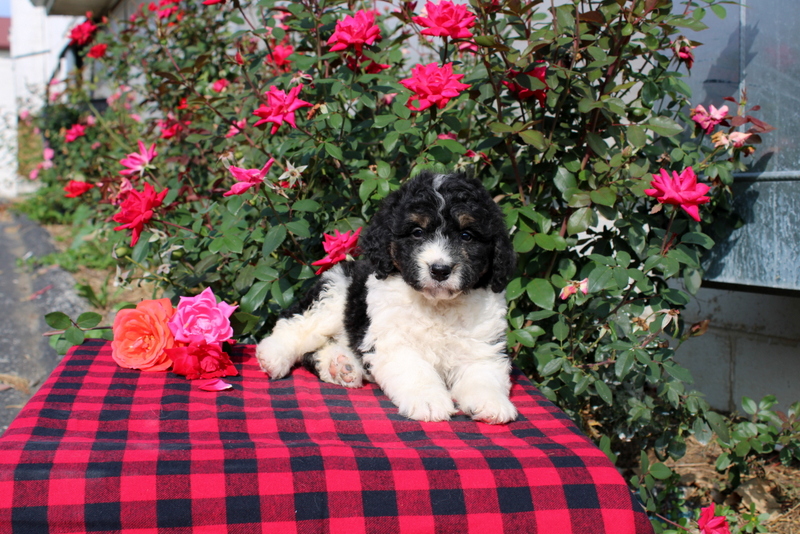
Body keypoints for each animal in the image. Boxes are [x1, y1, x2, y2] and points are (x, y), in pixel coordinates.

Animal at [256, 170, 520, 426]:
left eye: (466, 235)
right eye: (417, 232)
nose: (440, 270)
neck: (438, 305)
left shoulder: (483, 345)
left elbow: (483, 374)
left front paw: (491, 403)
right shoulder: (394, 341)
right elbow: (416, 370)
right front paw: (429, 401)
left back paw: (340, 366)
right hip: (334, 295)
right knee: (294, 323)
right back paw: (273, 355)